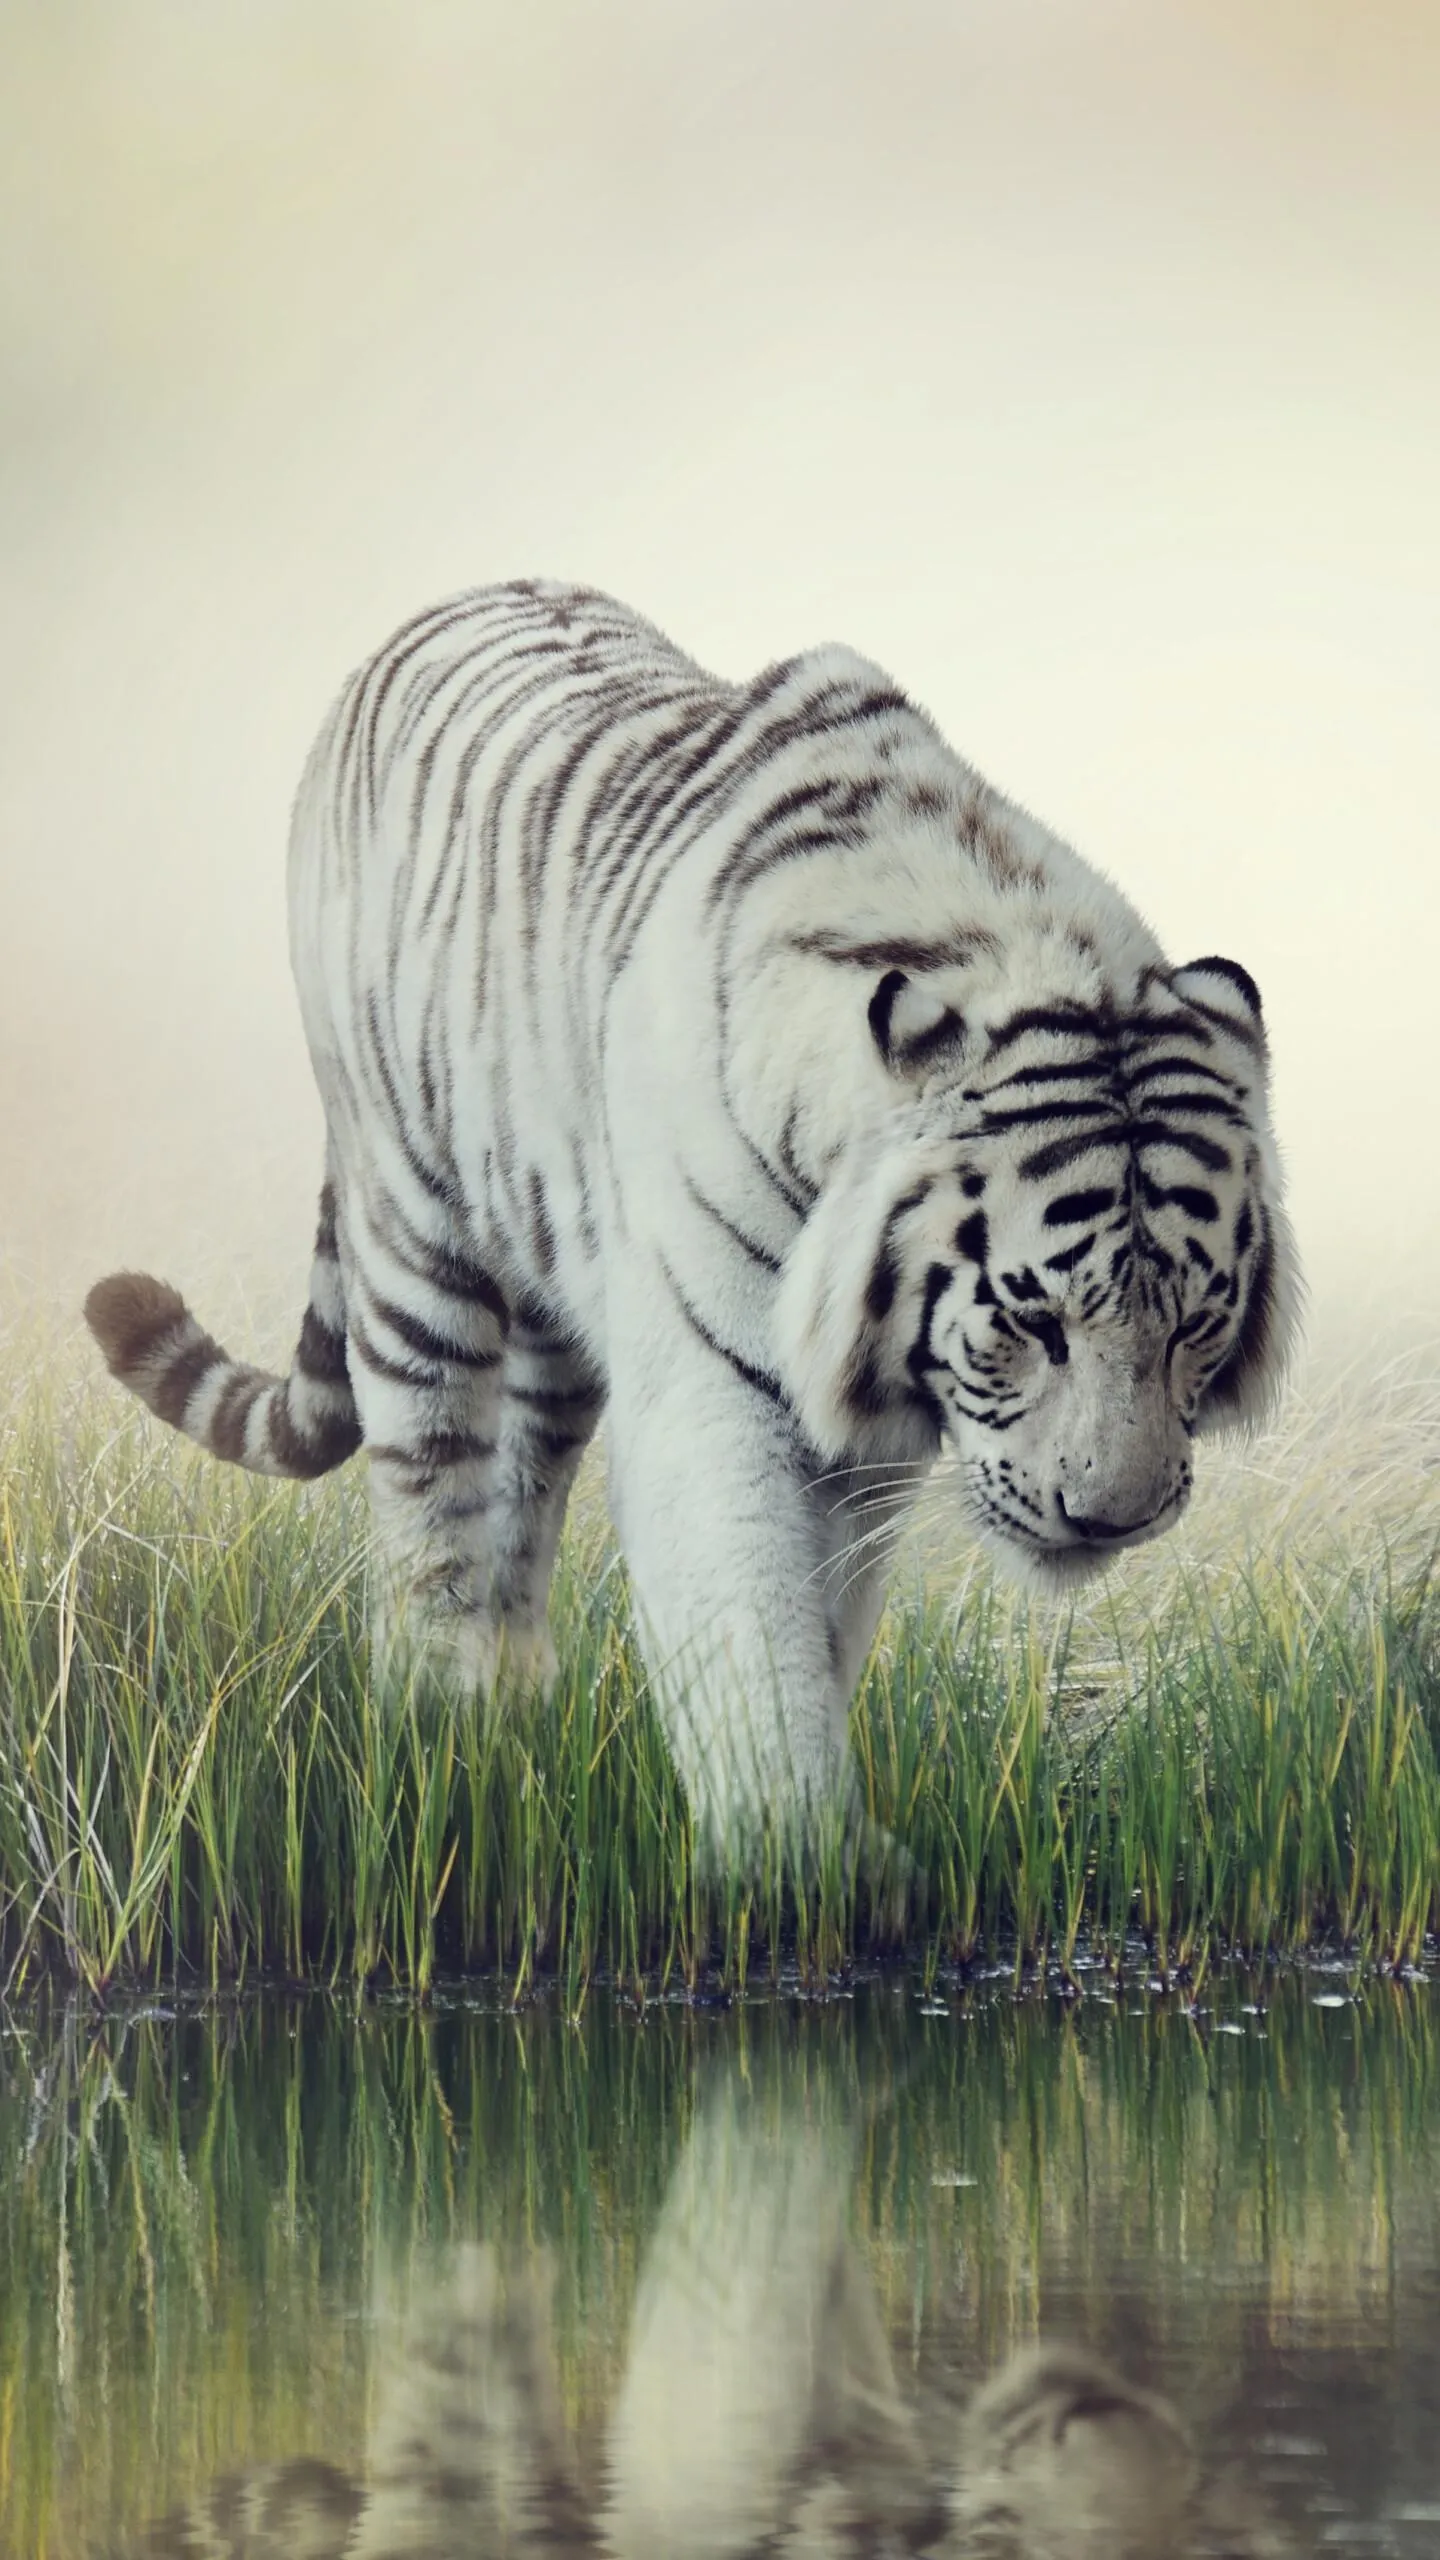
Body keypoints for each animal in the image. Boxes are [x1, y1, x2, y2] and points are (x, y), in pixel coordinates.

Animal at [84, 579, 1300, 1844]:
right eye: (1030, 1321)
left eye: (1196, 1325)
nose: (1112, 1519)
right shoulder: (712, 1389)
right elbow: (750, 1632)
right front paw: (800, 1857)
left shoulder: (861, 1446)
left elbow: (822, 1621)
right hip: (412, 1234)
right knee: (430, 1500)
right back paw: (438, 1724)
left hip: (560, 1306)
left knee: (521, 1496)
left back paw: (517, 1712)